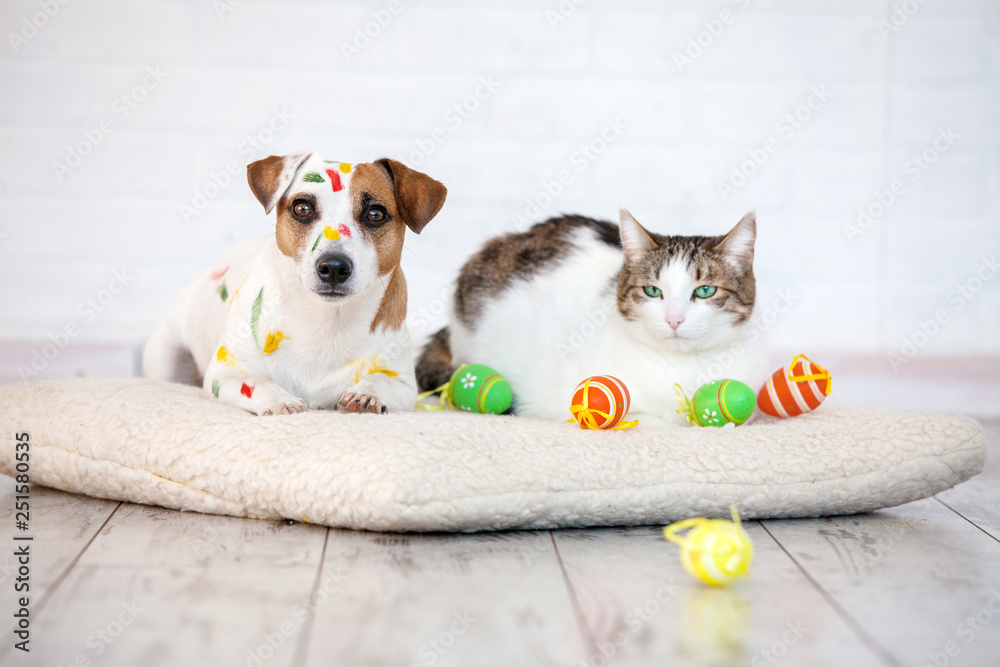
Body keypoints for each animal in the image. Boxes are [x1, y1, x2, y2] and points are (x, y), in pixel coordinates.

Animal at [144, 155, 446, 418]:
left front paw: (367, 394)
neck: (326, 322)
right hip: (168, 359)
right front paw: (281, 401)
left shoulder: (406, 385)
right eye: (302, 208)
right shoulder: (224, 373)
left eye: (375, 214)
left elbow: (383, 380)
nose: (333, 267)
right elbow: (257, 383)